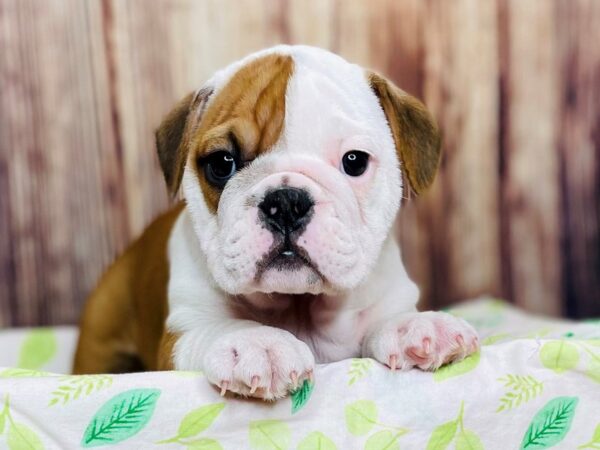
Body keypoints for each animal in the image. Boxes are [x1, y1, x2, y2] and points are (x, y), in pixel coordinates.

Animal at [74, 45, 478, 400]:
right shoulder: (182, 331)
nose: (285, 202)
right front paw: (256, 343)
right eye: (221, 164)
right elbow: (219, 326)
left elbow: (385, 318)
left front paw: (418, 325)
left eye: (354, 161)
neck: (297, 306)